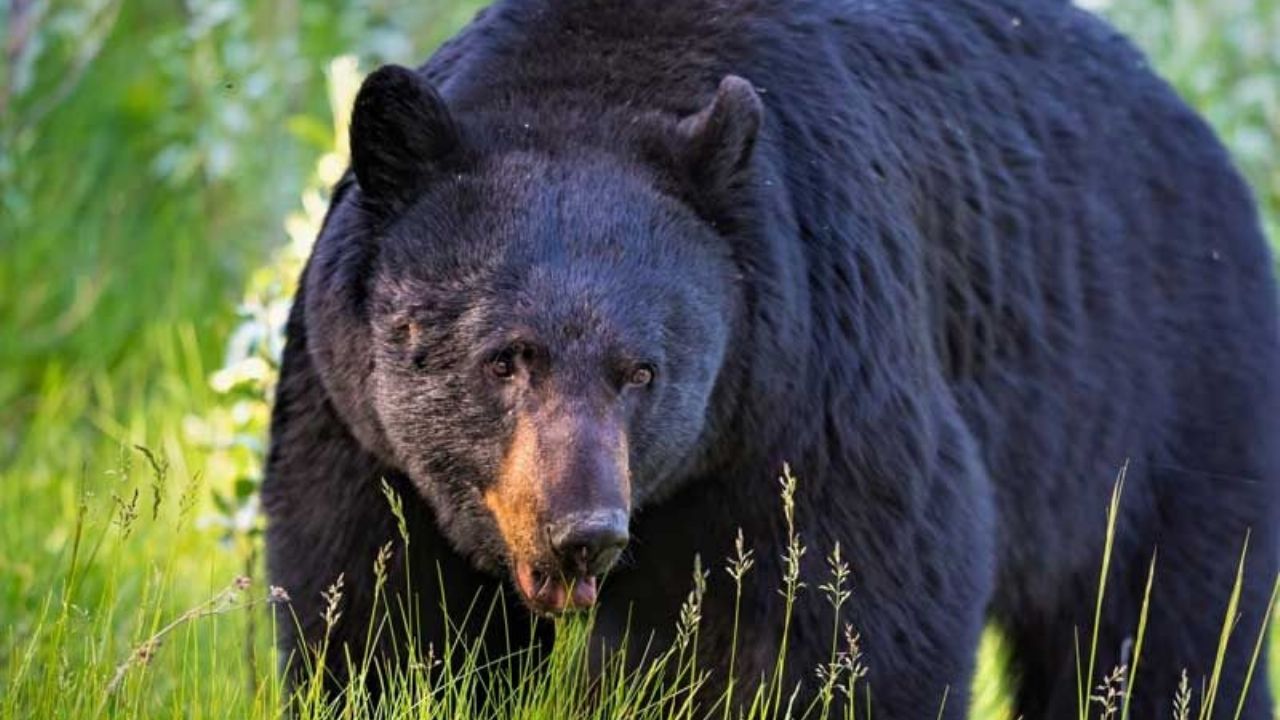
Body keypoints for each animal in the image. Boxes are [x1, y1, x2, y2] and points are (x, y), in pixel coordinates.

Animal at [262, 0, 1280, 716]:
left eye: (643, 371)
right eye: (505, 359)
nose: (584, 529)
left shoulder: (814, 381)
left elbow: (857, 615)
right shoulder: (356, 426)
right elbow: (377, 609)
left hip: (1166, 402)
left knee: (1162, 630)